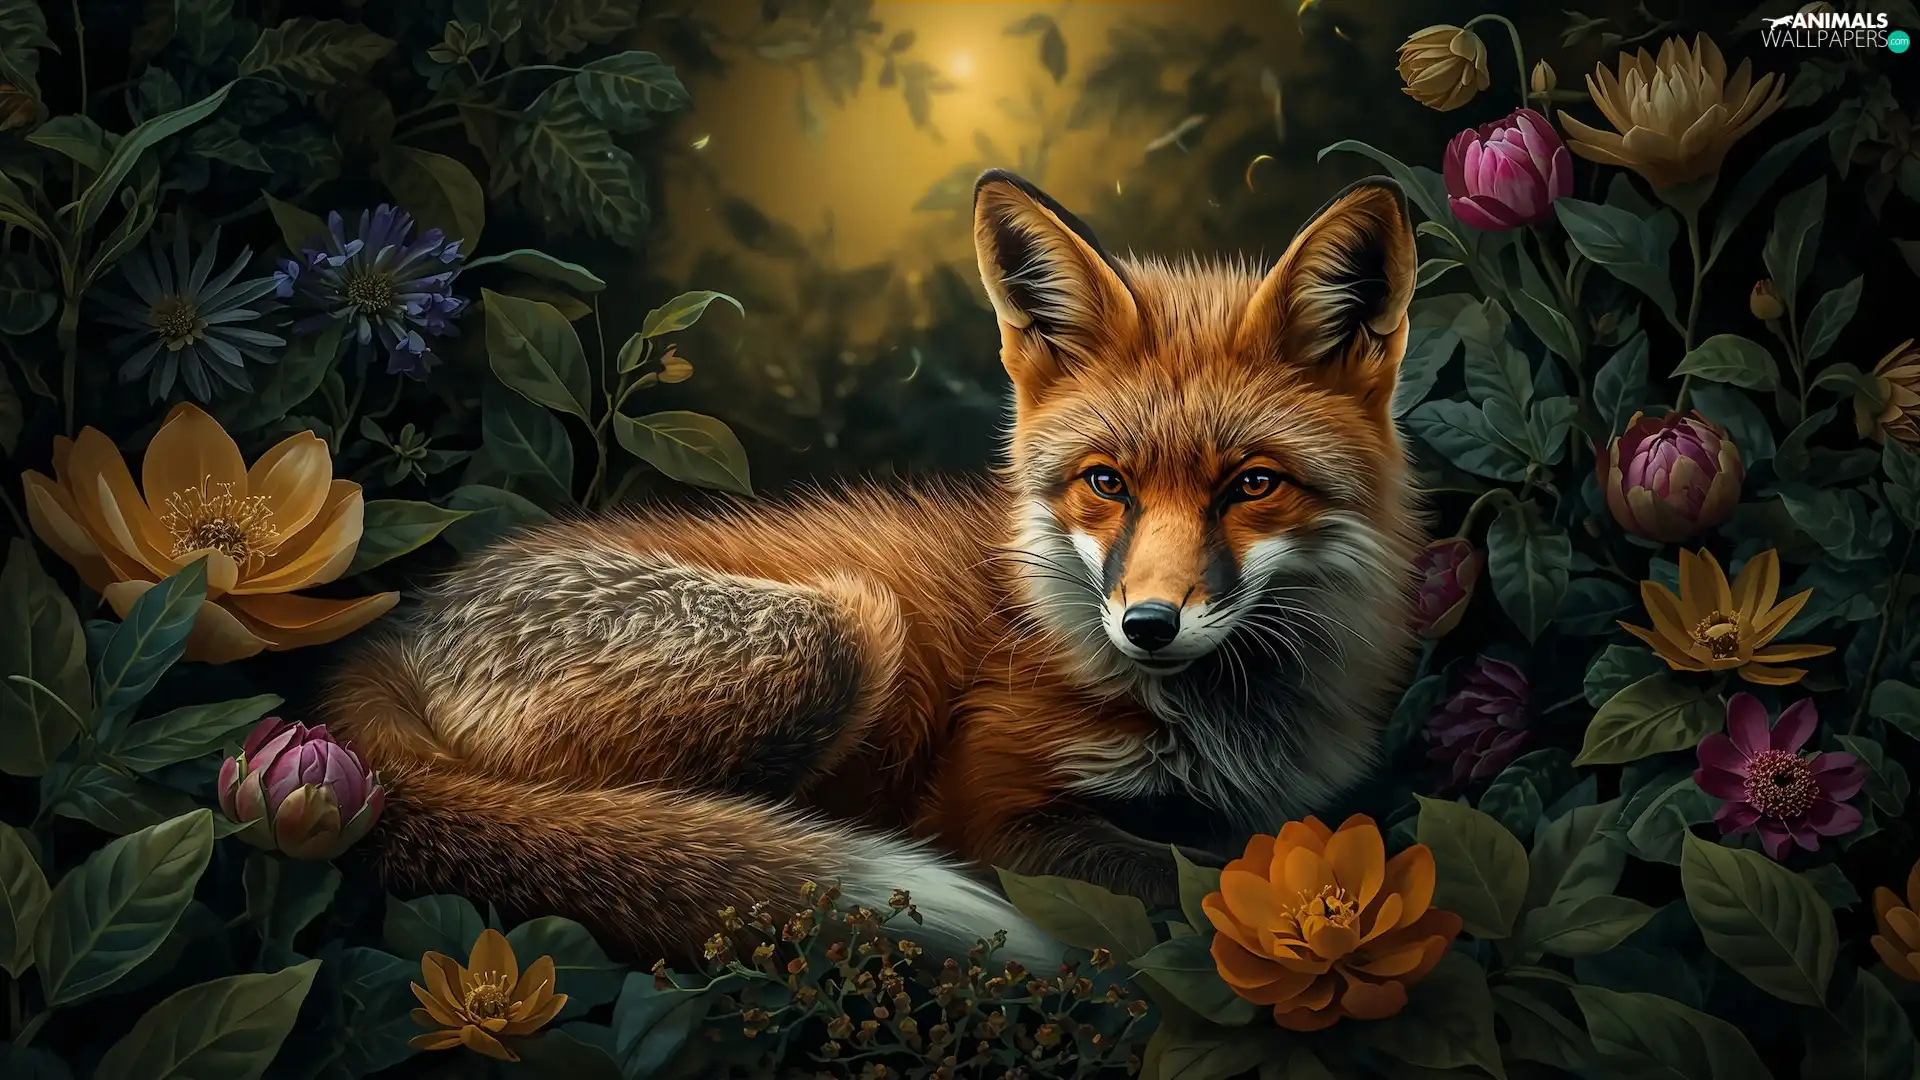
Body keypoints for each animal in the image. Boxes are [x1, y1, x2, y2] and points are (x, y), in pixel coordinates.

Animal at [321, 170, 1426, 966]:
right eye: (1106, 483)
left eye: (1252, 485)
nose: (1147, 625)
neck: (1224, 728)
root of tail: (400, 636)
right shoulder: (990, 812)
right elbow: (1189, 873)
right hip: (840, 633)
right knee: (619, 829)